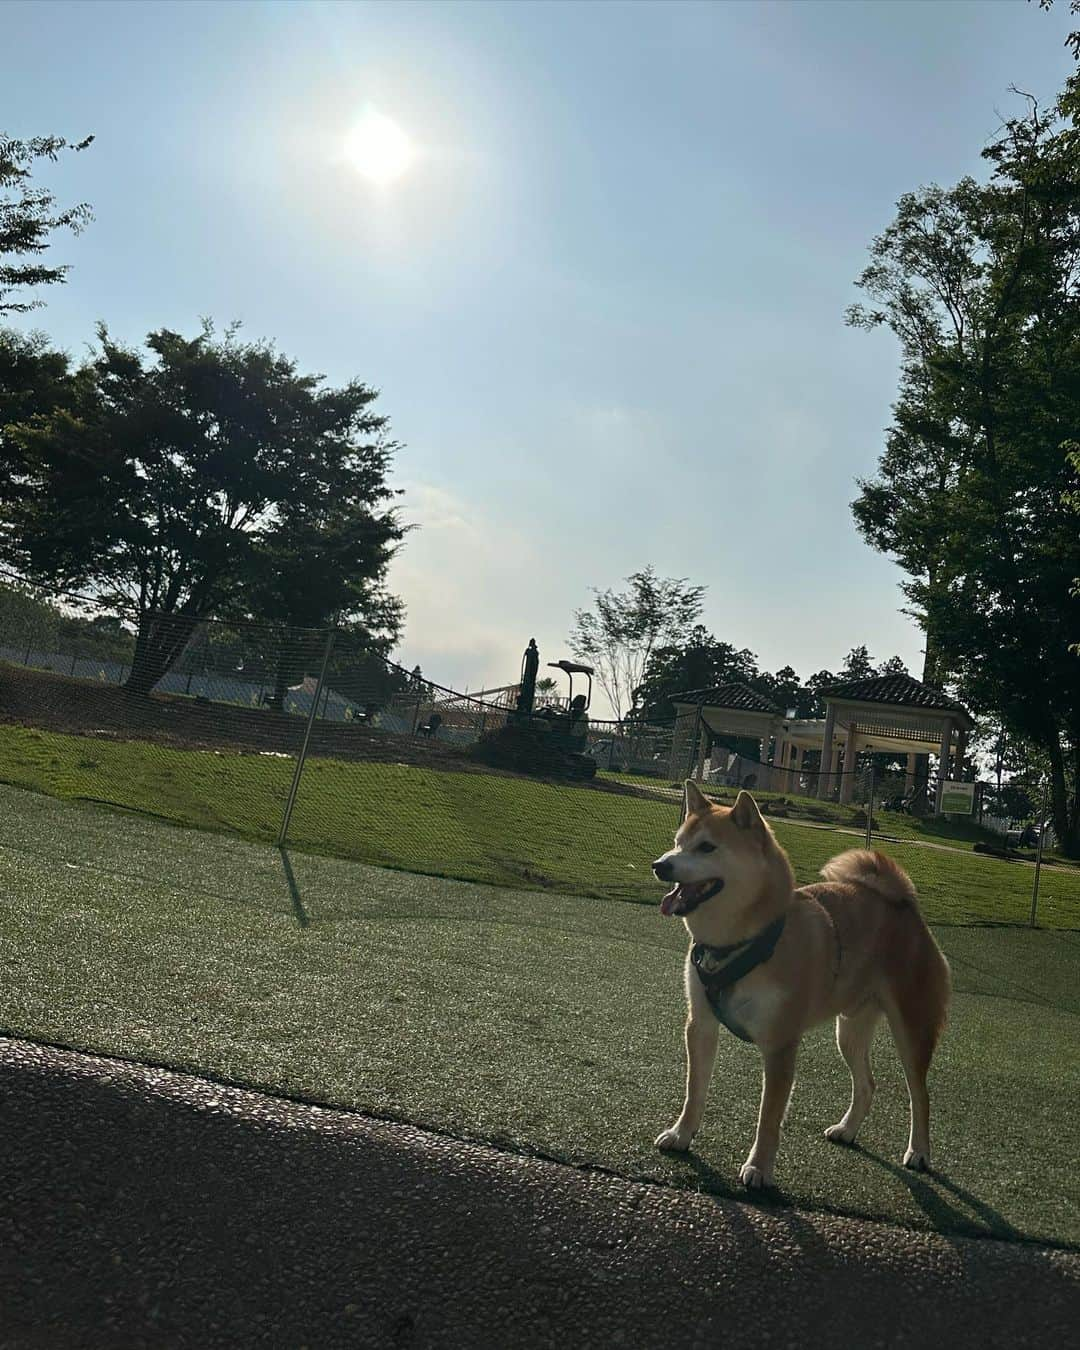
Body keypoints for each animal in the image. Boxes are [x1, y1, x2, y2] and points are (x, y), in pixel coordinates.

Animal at [650, 783, 945, 1193]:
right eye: (678, 842)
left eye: (707, 847)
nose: (660, 865)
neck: (741, 942)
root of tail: (907, 908)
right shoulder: (701, 1025)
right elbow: (695, 1091)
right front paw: (681, 1135)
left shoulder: (780, 1043)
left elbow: (768, 1117)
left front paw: (758, 1167)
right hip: (849, 1030)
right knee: (867, 1084)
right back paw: (847, 1130)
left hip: (912, 1030)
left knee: (920, 1095)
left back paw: (918, 1152)